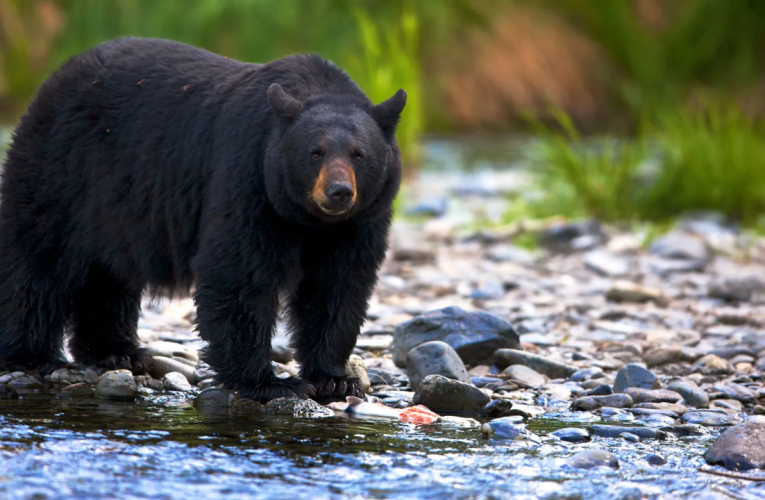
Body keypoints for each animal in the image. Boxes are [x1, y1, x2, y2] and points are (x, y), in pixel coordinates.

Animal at [0, 37, 406, 402]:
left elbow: (337, 285)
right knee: (38, 261)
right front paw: (268, 383)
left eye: (358, 154)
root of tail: (57, 77)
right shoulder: (248, 176)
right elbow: (241, 272)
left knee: (108, 275)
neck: (308, 218)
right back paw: (33, 356)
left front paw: (334, 379)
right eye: (315, 152)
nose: (339, 192)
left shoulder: (359, 221)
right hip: (62, 169)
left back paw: (118, 352)